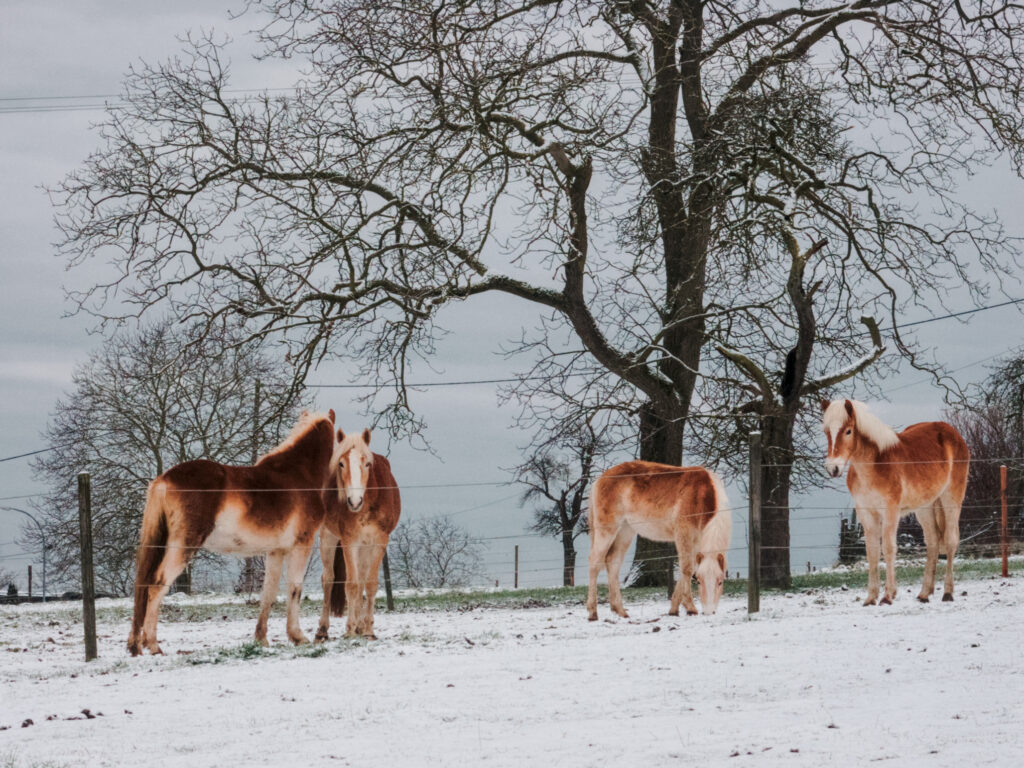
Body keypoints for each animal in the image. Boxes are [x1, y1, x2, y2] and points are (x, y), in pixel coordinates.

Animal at [127, 411, 335, 659]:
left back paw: (138, 645)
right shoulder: (301, 545)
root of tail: (164, 480)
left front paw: (261, 638)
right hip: (182, 547)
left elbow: (268, 592)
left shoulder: (275, 552)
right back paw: (154, 645)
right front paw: (298, 637)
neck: (298, 474)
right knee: (156, 586)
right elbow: (295, 588)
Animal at [315, 428, 399, 643]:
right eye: (341, 463)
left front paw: (367, 629)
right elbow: (351, 585)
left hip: (364, 547)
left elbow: (369, 584)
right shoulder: (349, 541)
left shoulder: (379, 542)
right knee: (328, 579)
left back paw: (361, 626)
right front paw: (350, 629)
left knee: (361, 579)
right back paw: (322, 630)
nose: (354, 501)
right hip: (328, 538)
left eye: (367, 463)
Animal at [589, 460, 733, 622]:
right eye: (699, 581)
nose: (708, 612)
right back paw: (592, 612)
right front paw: (690, 607)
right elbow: (686, 569)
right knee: (594, 563)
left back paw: (620, 611)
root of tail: (600, 479)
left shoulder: (696, 541)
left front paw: (674, 609)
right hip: (607, 530)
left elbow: (687, 569)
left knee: (613, 562)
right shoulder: (683, 534)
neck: (703, 494)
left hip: (625, 531)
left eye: (720, 582)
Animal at [819, 399, 970, 606]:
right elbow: (872, 552)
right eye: (827, 431)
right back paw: (924, 594)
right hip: (925, 507)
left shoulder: (890, 511)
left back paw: (947, 593)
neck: (875, 465)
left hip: (951, 499)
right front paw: (870, 598)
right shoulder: (866, 513)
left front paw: (887, 596)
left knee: (950, 541)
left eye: (848, 431)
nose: (833, 468)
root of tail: (953, 434)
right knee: (932, 542)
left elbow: (889, 548)